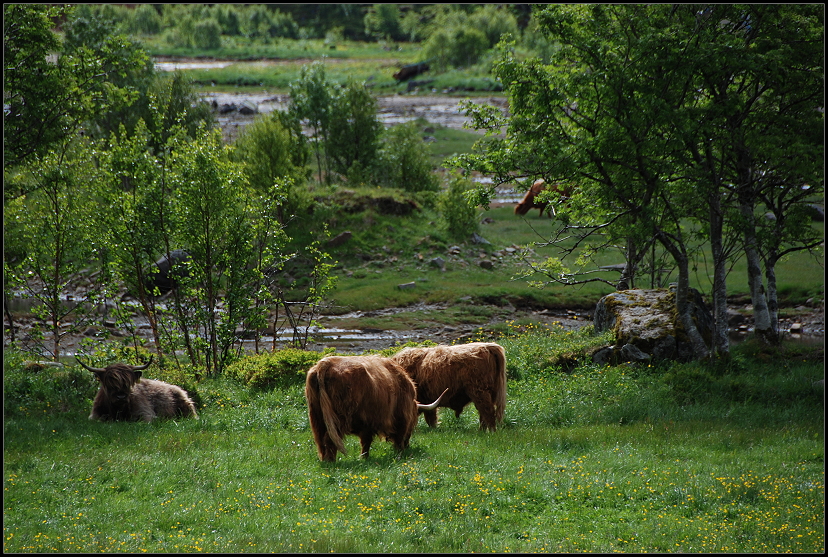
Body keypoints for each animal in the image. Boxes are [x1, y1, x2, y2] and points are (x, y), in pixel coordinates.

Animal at [304, 356, 446, 460]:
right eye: (414, 420)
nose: (407, 445)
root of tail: (325, 364)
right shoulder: (398, 420)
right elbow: (391, 438)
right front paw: (398, 453)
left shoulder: (366, 424)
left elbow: (365, 442)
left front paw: (364, 458)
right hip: (338, 418)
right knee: (329, 439)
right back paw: (331, 461)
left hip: (316, 416)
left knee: (320, 440)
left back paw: (324, 460)